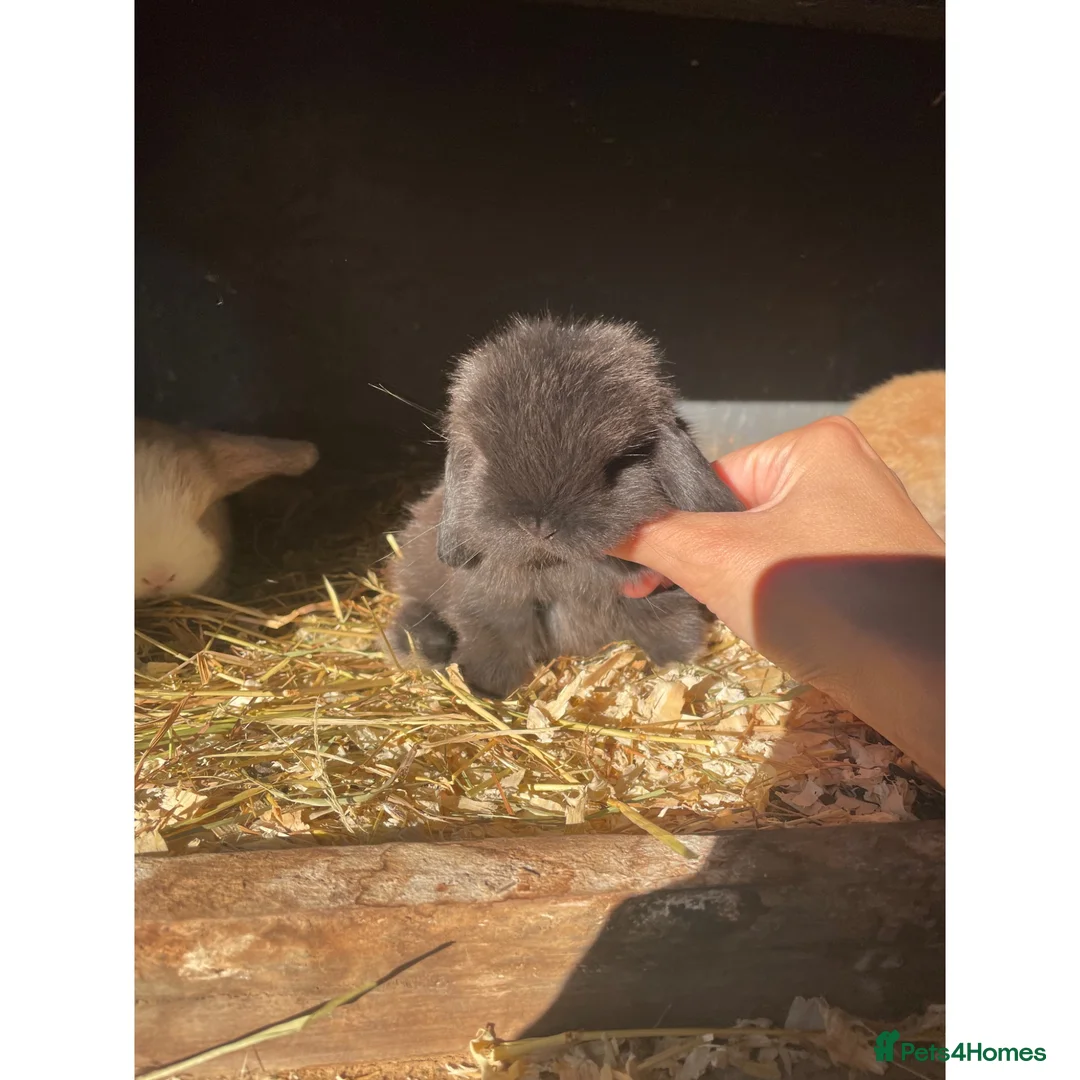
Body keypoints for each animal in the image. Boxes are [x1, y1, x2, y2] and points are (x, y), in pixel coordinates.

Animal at [387, 315, 744, 699]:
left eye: (618, 463)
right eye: (484, 459)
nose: (538, 525)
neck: (557, 567)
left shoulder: (658, 595)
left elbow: (668, 622)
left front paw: (677, 663)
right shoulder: (492, 608)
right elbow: (496, 643)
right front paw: (487, 690)